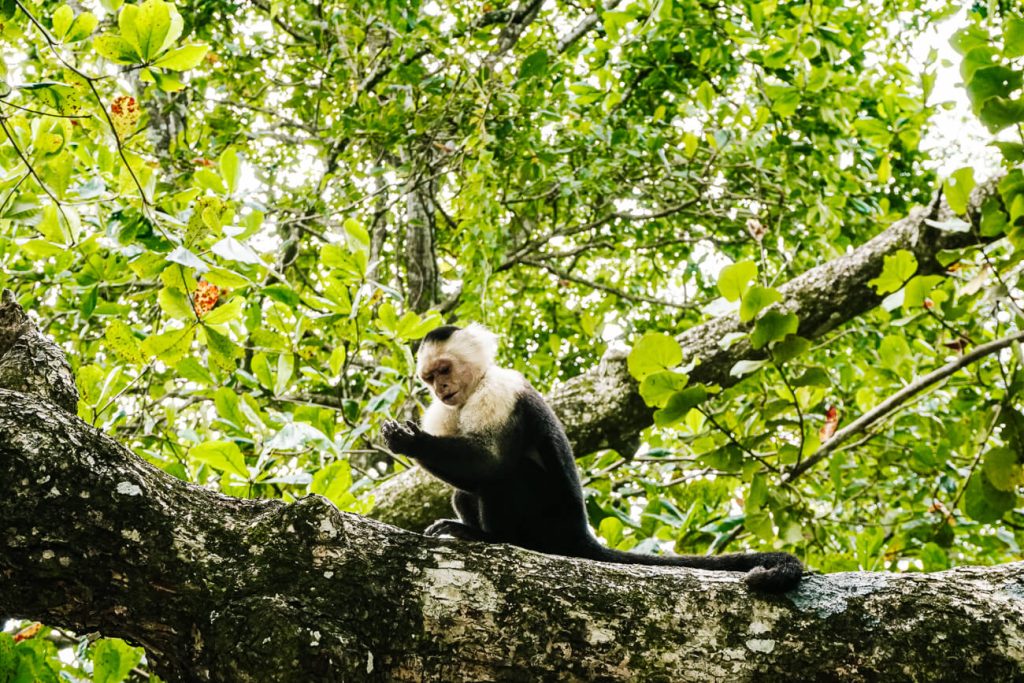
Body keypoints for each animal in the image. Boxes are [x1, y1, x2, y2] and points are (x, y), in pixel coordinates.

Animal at [380, 323, 802, 589]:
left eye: (445, 369)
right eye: (430, 378)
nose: (442, 388)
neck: (475, 386)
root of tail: (579, 534)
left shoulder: (498, 391)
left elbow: (491, 462)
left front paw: (410, 442)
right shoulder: (444, 409)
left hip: (550, 520)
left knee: (509, 476)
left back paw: (493, 538)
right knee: (467, 490)